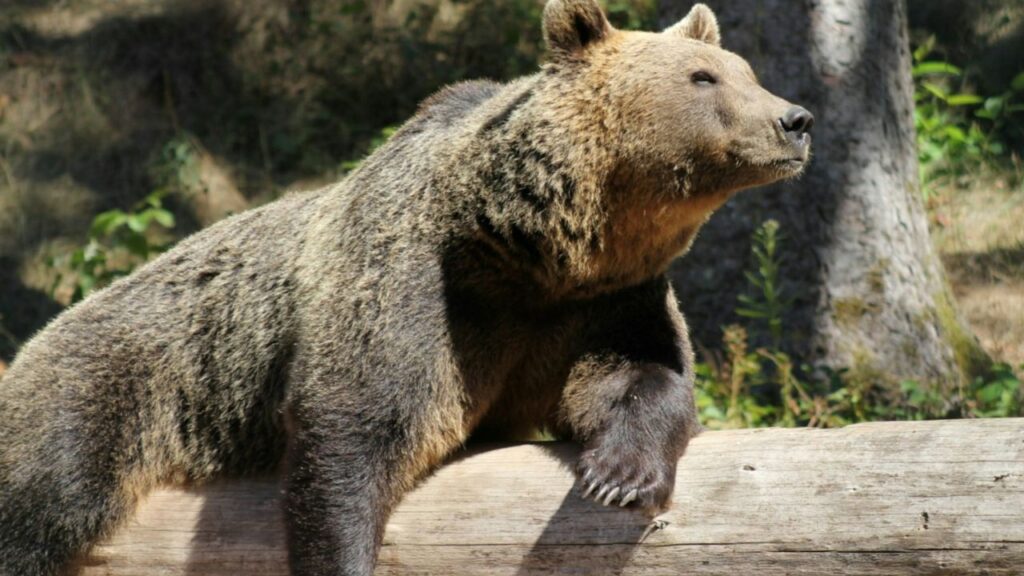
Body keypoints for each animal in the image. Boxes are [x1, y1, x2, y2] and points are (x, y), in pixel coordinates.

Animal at [0, 2, 813, 574]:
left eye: (740, 69)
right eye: (704, 77)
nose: (795, 118)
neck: (536, 247)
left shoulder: (604, 300)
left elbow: (641, 373)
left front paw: (620, 474)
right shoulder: (421, 285)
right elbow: (357, 426)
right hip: (123, 374)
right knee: (49, 488)